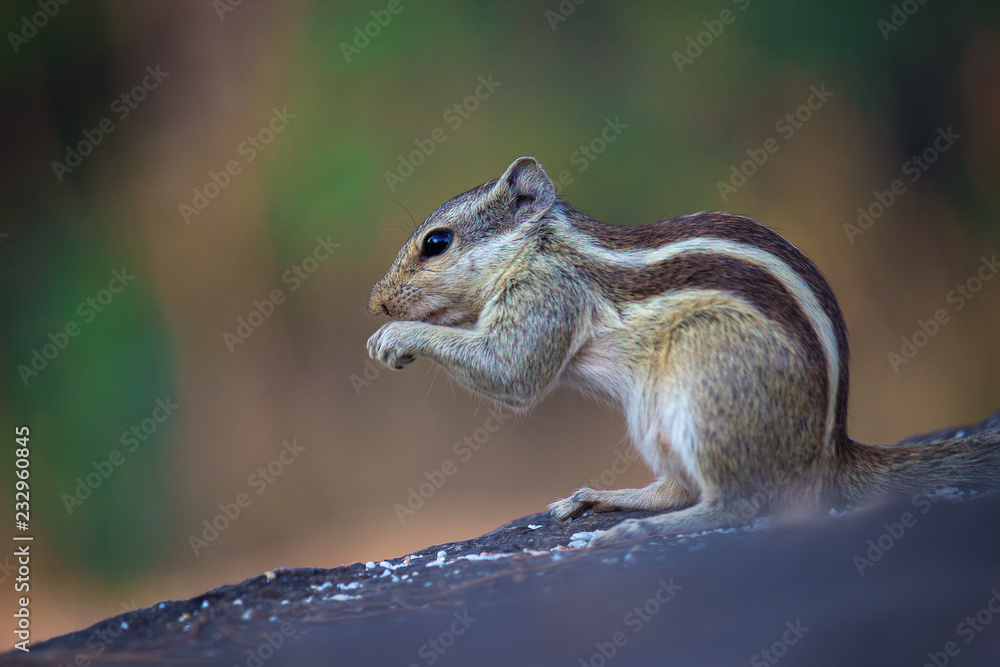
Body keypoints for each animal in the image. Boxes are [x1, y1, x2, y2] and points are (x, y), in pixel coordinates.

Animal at [367, 156, 1000, 546]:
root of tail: (830, 451)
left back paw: (641, 530)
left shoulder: (548, 294)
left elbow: (511, 369)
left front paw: (396, 338)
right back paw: (602, 498)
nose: (376, 302)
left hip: (705, 386)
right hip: (653, 416)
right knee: (679, 488)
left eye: (436, 243)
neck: (540, 246)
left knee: (741, 502)